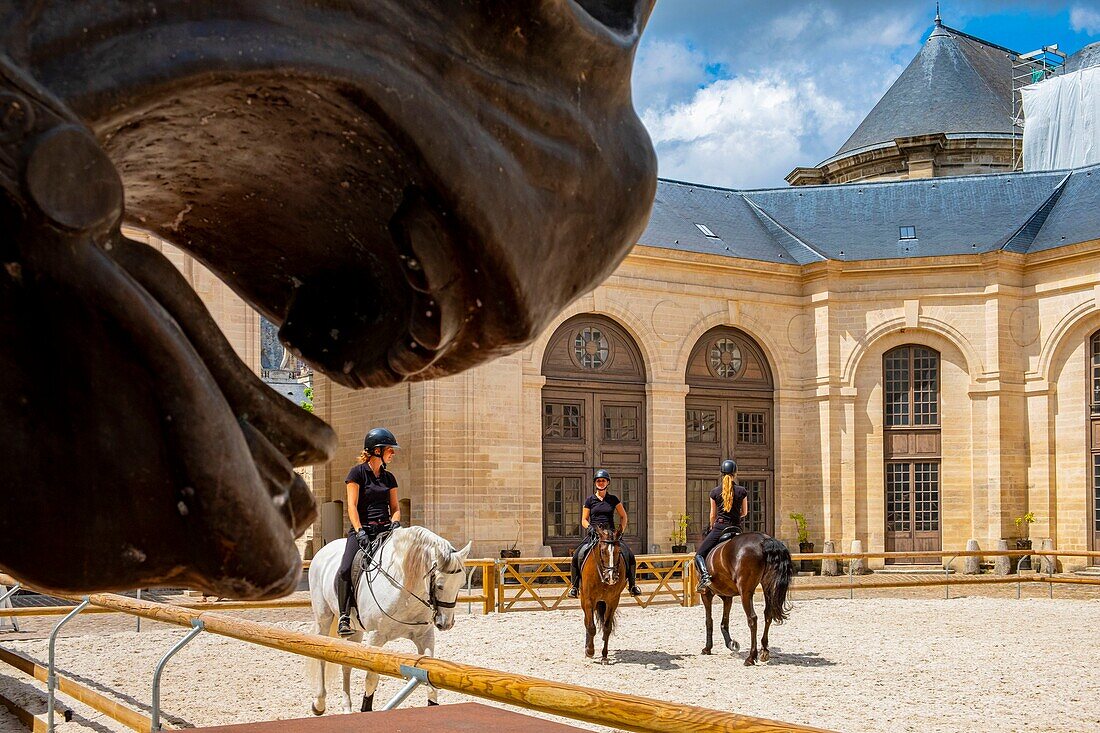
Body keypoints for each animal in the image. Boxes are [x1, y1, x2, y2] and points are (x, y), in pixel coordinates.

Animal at [308, 521, 470, 708]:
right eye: (439, 585)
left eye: (462, 584)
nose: (446, 624)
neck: (404, 590)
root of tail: (324, 550)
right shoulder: (376, 638)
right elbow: (371, 679)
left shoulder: (425, 636)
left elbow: (431, 681)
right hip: (324, 618)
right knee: (320, 655)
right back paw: (319, 703)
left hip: (356, 630)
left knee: (346, 664)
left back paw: (347, 707)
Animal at [576, 521, 629, 660]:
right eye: (602, 551)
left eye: (618, 551)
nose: (611, 577)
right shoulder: (589, 600)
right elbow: (591, 627)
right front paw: (590, 650)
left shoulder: (612, 601)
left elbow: (607, 628)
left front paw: (604, 656)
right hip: (584, 599)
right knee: (586, 622)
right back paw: (587, 648)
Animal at [699, 530, 796, 660]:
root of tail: (764, 540)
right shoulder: (727, 596)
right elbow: (724, 622)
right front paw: (731, 644)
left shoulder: (707, 594)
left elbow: (709, 621)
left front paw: (707, 648)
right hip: (768, 587)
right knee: (768, 614)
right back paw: (764, 651)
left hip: (745, 592)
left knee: (752, 619)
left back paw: (751, 657)